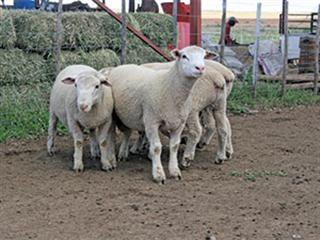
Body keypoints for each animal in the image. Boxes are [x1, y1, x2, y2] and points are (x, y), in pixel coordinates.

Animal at [108, 45, 218, 184]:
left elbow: (174, 146)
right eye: (184, 56)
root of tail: (122, 66)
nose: (200, 68)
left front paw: (175, 171)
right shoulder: (152, 122)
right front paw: (158, 175)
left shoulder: (179, 124)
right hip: (116, 115)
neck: (170, 87)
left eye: (204, 56)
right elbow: (156, 148)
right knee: (120, 133)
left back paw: (123, 153)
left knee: (127, 132)